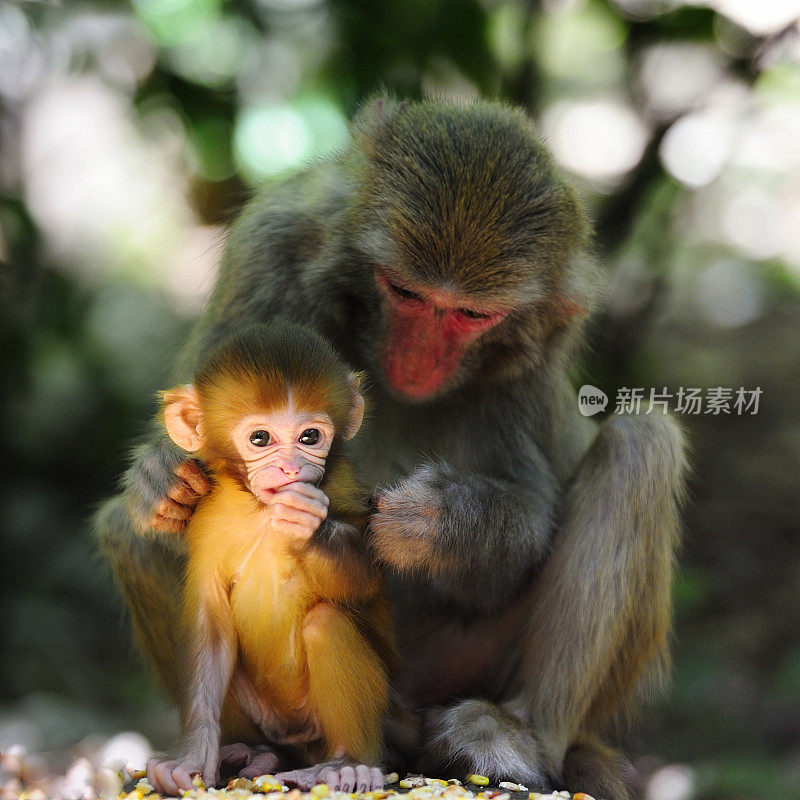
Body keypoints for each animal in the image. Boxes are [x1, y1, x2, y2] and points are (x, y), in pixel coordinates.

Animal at [148, 324, 396, 792]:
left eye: (310, 437)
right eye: (260, 439)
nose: (291, 469)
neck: (263, 512)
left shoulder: (345, 485)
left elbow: (369, 577)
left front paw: (308, 527)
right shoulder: (208, 522)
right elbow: (211, 627)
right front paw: (191, 757)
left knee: (326, 622)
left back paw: (348, 762)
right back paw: (255, 754)